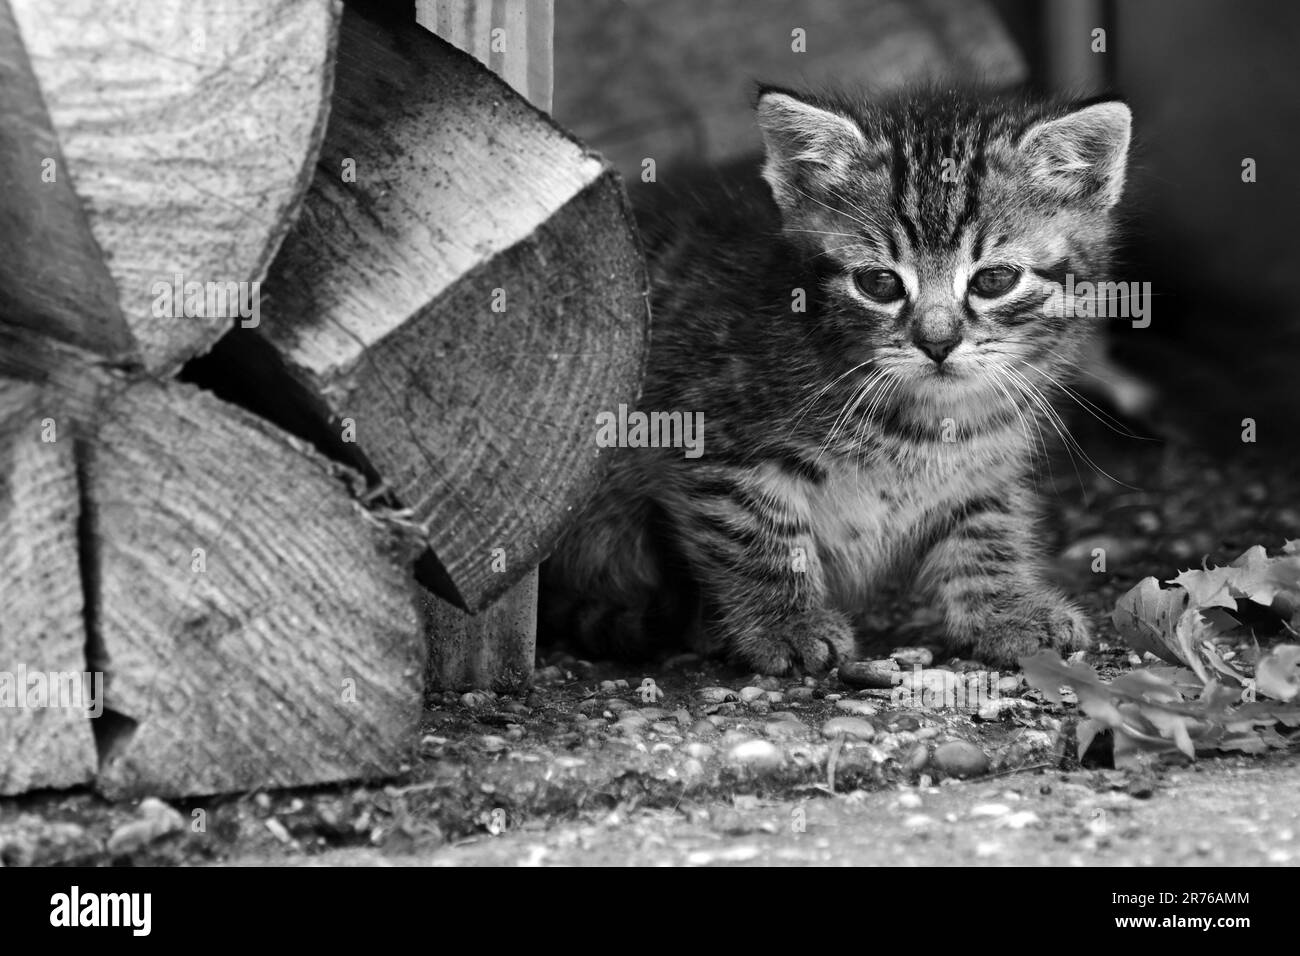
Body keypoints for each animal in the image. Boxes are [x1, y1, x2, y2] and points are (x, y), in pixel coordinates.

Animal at [543, 87, 1133, 671]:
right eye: (879, 283)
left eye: (993, 280)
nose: (937, 343)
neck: (922, 416)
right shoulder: (706, 431)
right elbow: (756, 532)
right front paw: (786, 622)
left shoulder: (985, 464)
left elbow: (987, 528)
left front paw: (1005, 606)